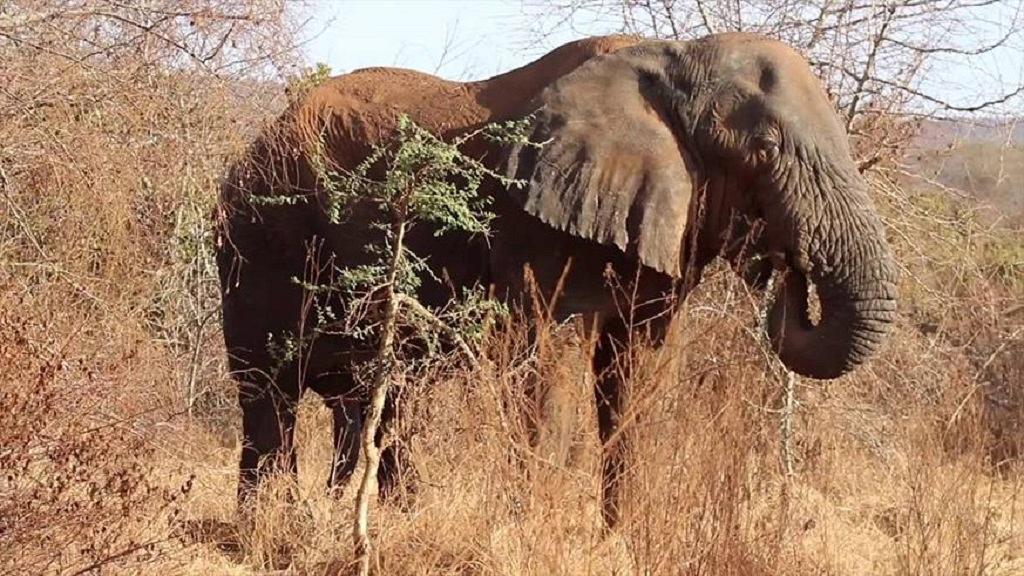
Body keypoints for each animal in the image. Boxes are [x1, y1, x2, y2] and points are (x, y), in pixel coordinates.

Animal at [214, 31, 897, 524]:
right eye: (764, 149)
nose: (787, 266)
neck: (672, 60)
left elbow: (637, 378)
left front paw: (624, 540)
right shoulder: (538, 225)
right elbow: (546, 369)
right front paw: (536, 531)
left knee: (374, 400)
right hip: (258, 236)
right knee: (269, 392)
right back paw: (267, 525)